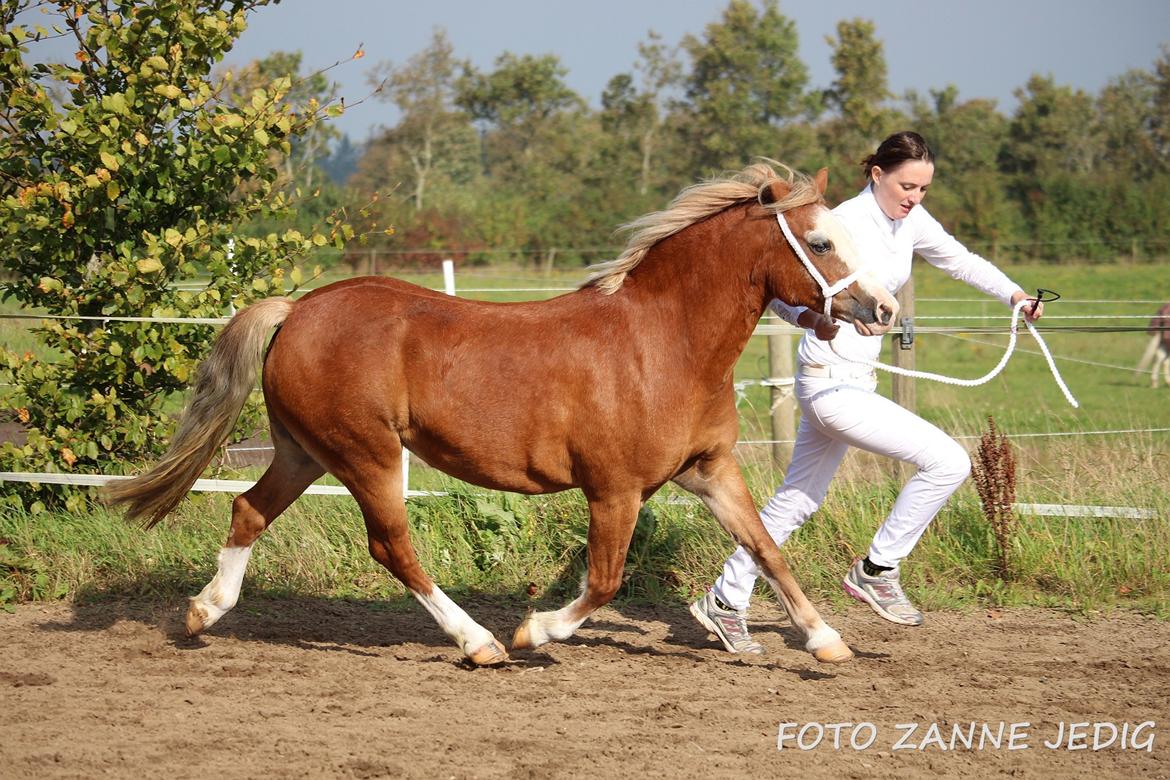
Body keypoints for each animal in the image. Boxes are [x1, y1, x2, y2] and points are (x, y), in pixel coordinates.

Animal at [107, 163, 893, 664]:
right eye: (821, 241)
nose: (882, 309)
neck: (664, 342)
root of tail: (298, 309)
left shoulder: (708, 470)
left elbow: (766, 548)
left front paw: (828, 642)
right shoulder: (614, 489)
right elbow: (604, 581)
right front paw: (533, 633)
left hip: (305, 452)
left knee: (247, 509)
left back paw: (202, 612)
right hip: (366, 455)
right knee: (391, 546)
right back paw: (480, 643)